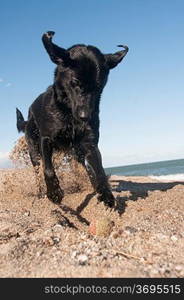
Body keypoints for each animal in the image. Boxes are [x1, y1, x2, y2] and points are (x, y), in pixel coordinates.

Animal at [16, 31, 128, 207]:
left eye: (99, 86)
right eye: (75, 82)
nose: (85, 117)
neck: (69, 114)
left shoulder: (90, 143)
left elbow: (99, 170)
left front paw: (106, 195)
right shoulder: (46, 140)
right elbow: (48, 169)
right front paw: (54, 193)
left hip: (77, 151)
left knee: (88, 169)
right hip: (33, 149)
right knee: (38, 171)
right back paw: (40, 194)